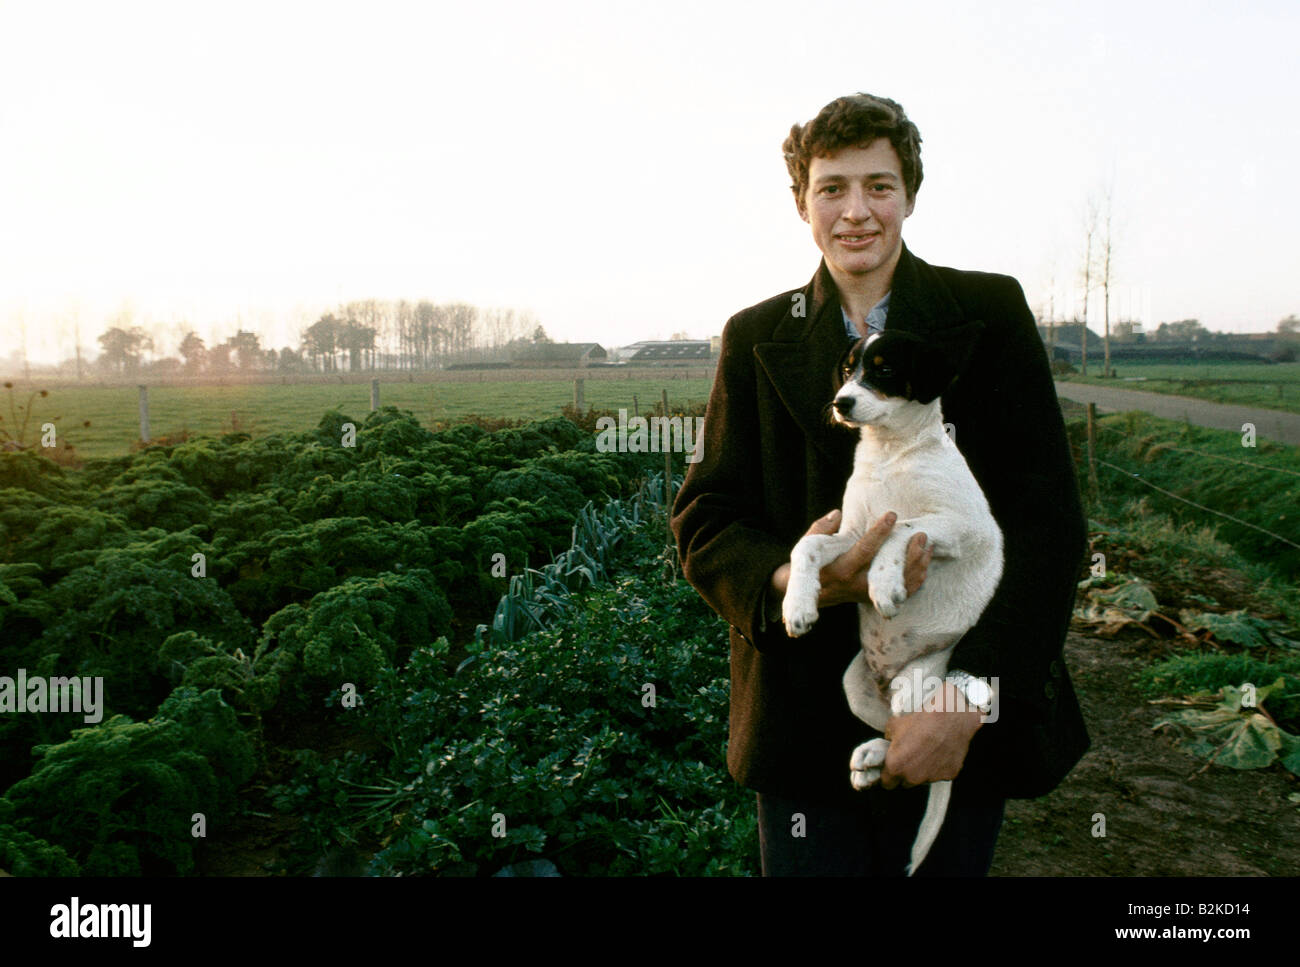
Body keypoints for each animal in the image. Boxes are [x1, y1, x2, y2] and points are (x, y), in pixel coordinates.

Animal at [780, 326, 1003, 878]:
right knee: (891, 733)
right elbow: (806, 545)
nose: (841, 403)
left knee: (909, 744)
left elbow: (903, 527)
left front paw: (884, 583)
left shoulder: (958, 527)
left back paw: (877, 757)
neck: (890, 454)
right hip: (854, 685)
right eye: (847, 370)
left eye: (883, 369)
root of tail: (890, 679)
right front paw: (797, 606)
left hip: (916, 686)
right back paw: (868, 761)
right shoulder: (852, 534)